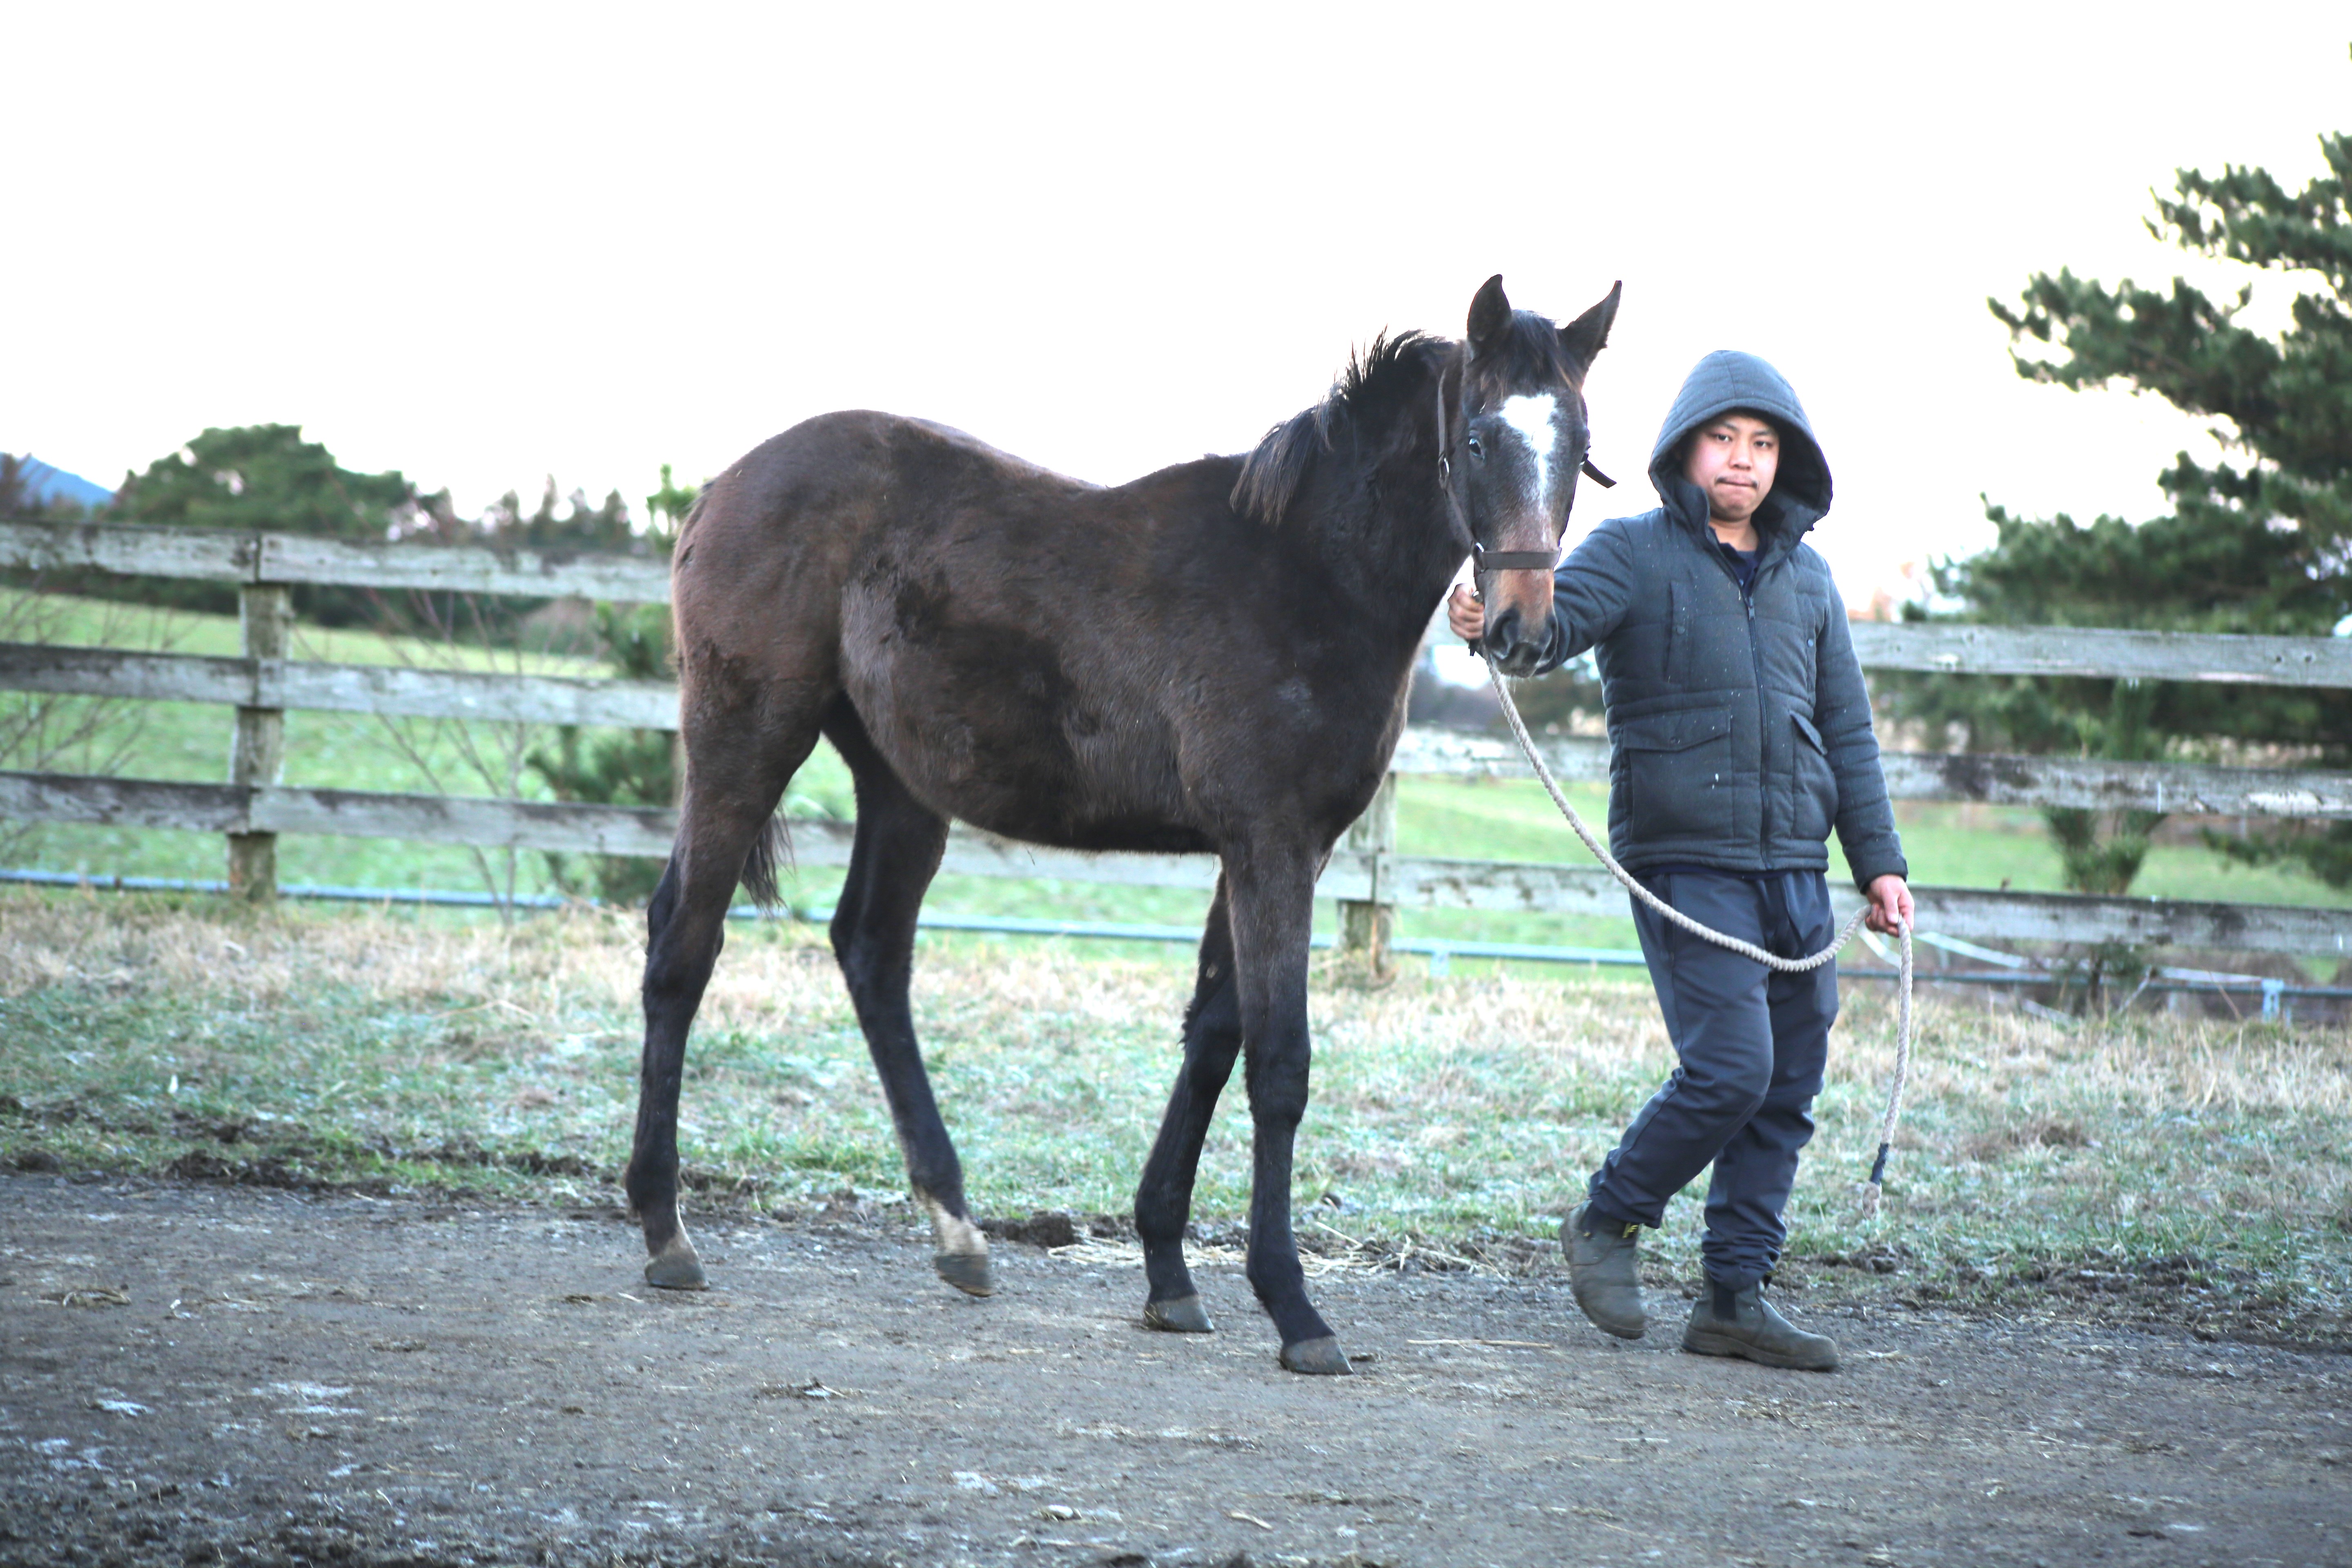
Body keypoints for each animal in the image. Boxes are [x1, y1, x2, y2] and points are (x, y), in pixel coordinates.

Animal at [626, 276, 1618, 1382]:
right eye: (1480, 437)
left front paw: (1169, 1273)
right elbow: (1279, 1063)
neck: (1309, 573)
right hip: (747, 740)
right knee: (683, 944)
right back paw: (667, 1230)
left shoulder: (1272, 851)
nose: (1522, 629)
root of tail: (725, 483)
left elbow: (1213, 1038)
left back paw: (957, 1230)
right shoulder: (1270, 846)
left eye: (1578, 439)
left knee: (871, 953)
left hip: (899, 785)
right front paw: (1293, 1306)